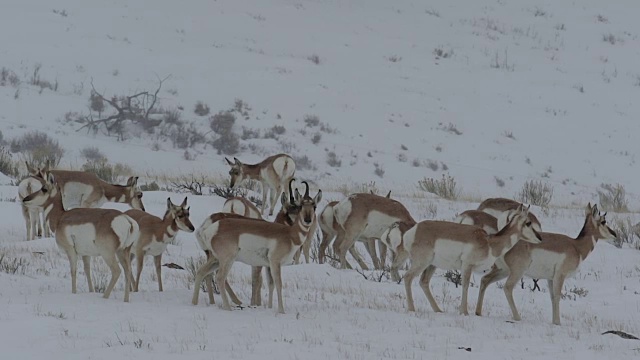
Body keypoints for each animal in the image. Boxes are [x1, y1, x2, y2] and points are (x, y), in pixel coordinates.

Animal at [22, 173, 138, 302]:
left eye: (44, 189)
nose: (25, 199)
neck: (60, 217)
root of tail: (126, 220)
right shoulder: (85, 254)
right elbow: (87, 270)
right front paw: (91, 291)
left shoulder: (71, 251)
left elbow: (73, 271)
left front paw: (74, 293)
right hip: (123, 252)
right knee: (128, 271)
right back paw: (126, 300)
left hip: (108, 254)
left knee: (117, 271)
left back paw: (104, 297)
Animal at [190, 181, 320, 314]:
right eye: (300, 206)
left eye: (314, 206)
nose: (308, 220)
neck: (289, 234)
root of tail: (211, 227)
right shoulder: (273, 263)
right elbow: (276, 284)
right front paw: (281, 311)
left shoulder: (268, 265)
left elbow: (271, 284)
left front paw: (269, 307)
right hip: (227, 260)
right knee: (220, 277)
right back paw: (229, 307)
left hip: (215, 260)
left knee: (201, 272)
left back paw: (195, 303)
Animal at [380, 205, 540, 316]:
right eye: (528, 222)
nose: (539, 238)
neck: (489, 242)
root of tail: (413, 230)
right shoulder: (467, 266)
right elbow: (465, 286)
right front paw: (464, 311)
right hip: (422, 263)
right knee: (408, 277)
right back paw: (412, 308)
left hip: (432, 265)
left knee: (423, 282)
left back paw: (438, 310)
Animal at [478, 204, 616, 324]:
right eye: (603, 221)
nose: (615, 234)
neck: (576, 246)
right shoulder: (560, 276)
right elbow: (557, 296)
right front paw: (558, 323)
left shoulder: (551, 278)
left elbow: (552, 298)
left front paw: (555, 322)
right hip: (517, 272)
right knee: (507, 287)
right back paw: (517, 317)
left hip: (503, 270)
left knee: (485, 280)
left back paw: (478, 312)